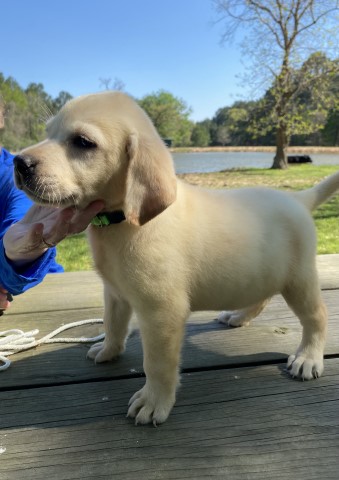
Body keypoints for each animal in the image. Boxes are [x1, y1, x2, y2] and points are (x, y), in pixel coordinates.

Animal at [13, 92, 339, 426]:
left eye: (82, 142)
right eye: (48, 133)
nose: (19, 162)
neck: (121, 222)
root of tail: (298, 198)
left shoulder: (161, 312)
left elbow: (157, 363)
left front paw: (154, 400)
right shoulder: (115, 293)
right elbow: (113, 323)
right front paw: (108, 350)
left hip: (299, 280)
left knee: (318, 316)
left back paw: (308, 357)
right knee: (261, 298)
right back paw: (238, 316)